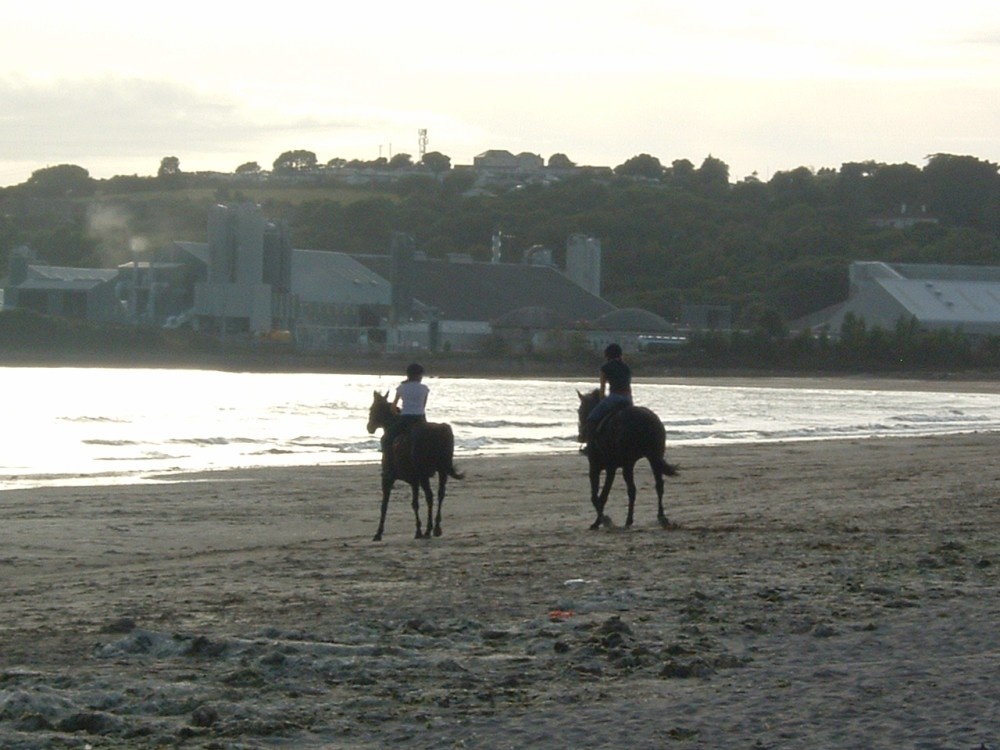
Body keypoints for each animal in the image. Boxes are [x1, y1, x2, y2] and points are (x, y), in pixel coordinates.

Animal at [366, 390, 462, 544]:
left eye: (372, 409)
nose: (369, 427)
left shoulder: (388, 479)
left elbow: (384, 505)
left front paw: (378, 533)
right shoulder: (414, 481)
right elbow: (415, 503)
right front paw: (418, 531)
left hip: (424, 475)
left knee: (430, 496)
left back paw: (429, 529)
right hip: (442, 471)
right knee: (440, 494)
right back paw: (436, 528)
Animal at [580, 390, 680, 532]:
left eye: (580, 410)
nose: (580, 435)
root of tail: (646, 420)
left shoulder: (597, 467)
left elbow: (597, 497)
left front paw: (602, 521)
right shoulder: (612, 468)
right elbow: (602, 496)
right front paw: (603, 520)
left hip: (628, 464)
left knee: (632, 489)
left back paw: (628, 520)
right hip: (653, 458)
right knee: (658, 485)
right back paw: (661, 517)